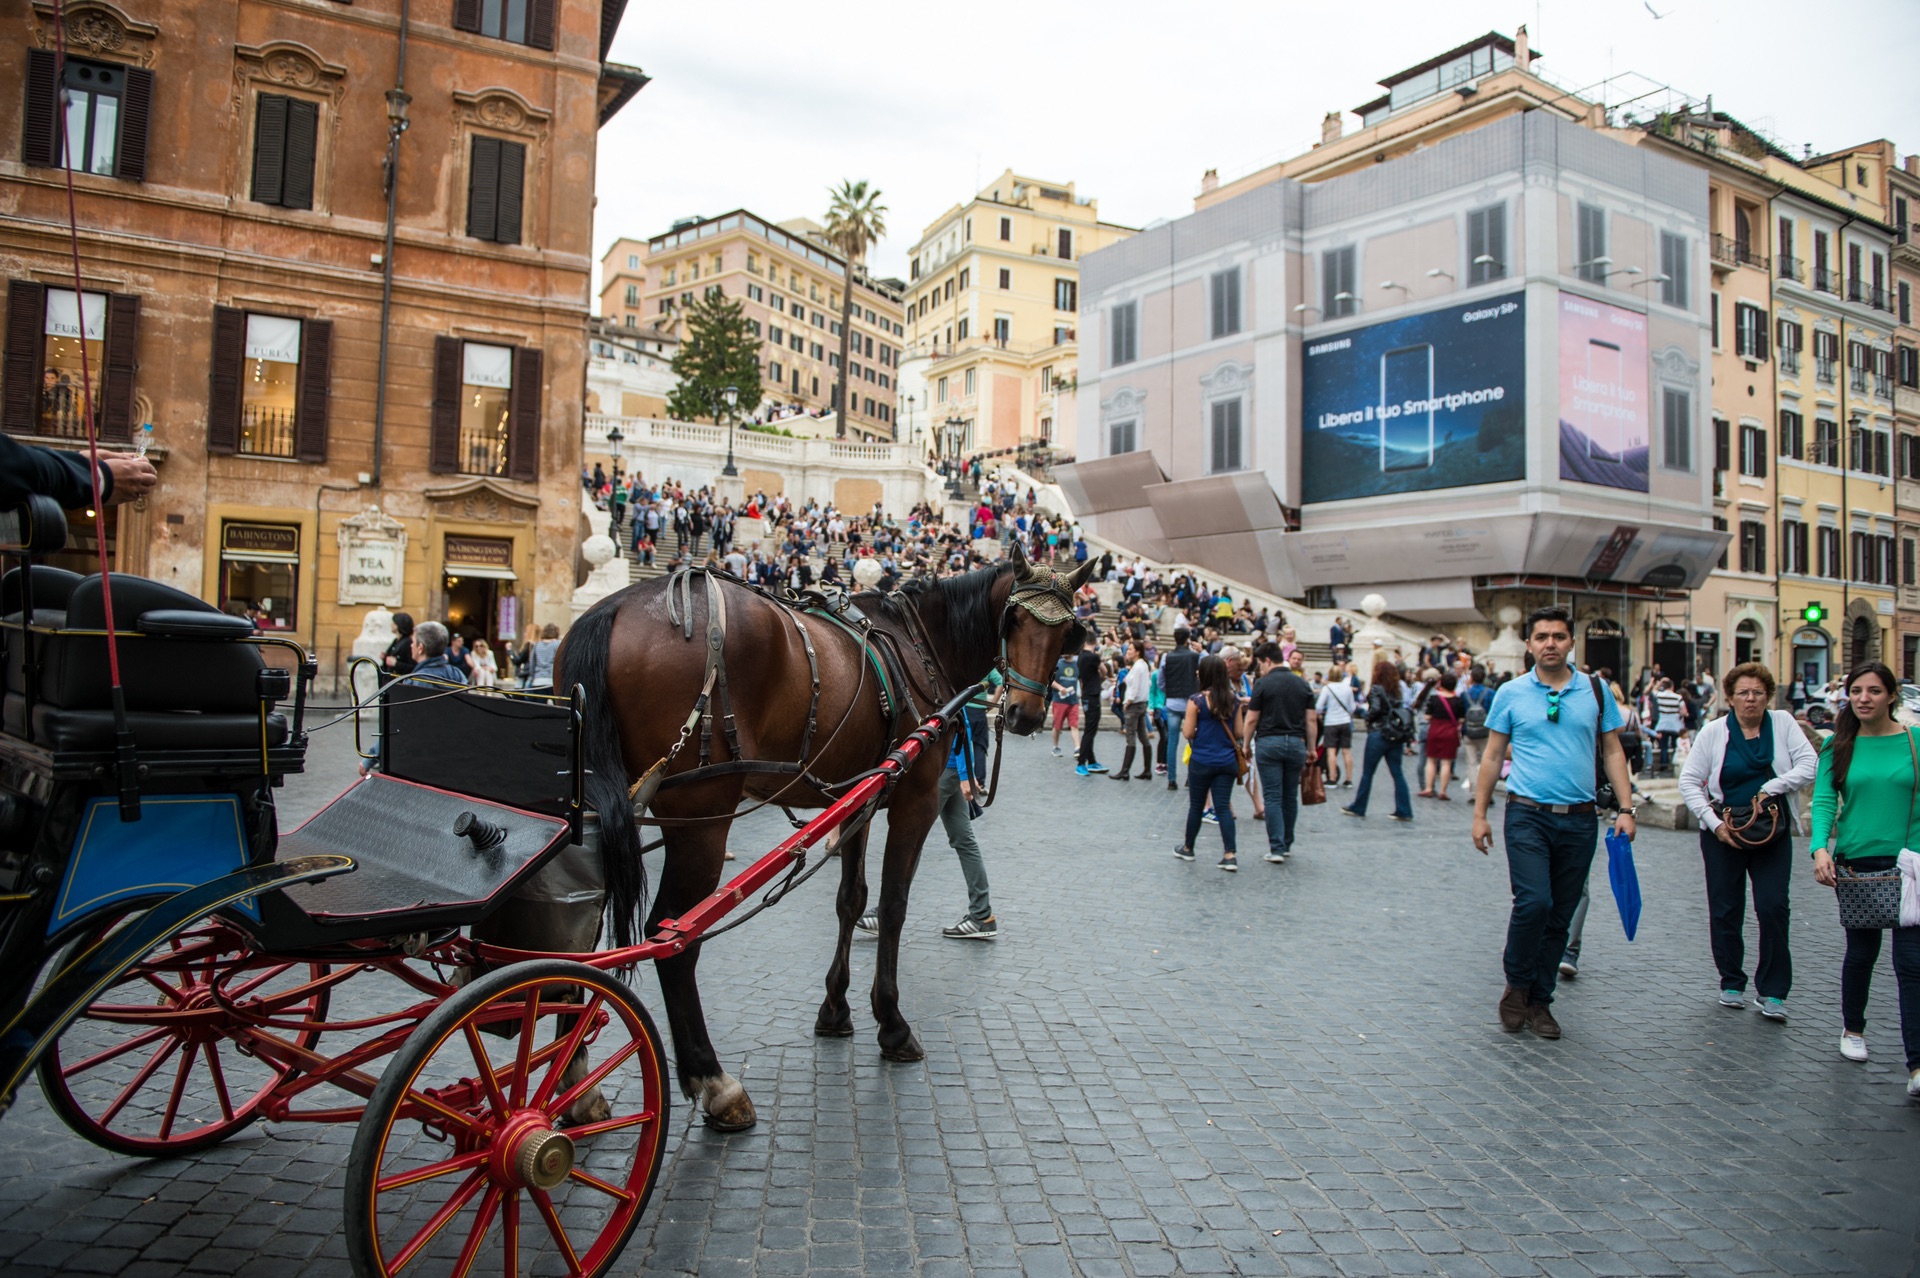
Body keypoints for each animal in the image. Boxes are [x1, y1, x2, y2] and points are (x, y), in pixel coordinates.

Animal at [556, 541, 1098, 1120]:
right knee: (672, 936)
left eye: (1066, 634)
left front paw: (835, 1009)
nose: (1025, 715)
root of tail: (617, 608)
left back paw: (578, 1085)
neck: (922, 644)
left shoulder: (857, 797)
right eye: (1013, 619)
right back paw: (715, 1081)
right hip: (701, 814)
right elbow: (893, 904)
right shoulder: (916, 798)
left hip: (600, 812)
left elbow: (851, 899)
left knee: (577, 929)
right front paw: (892, 1024)